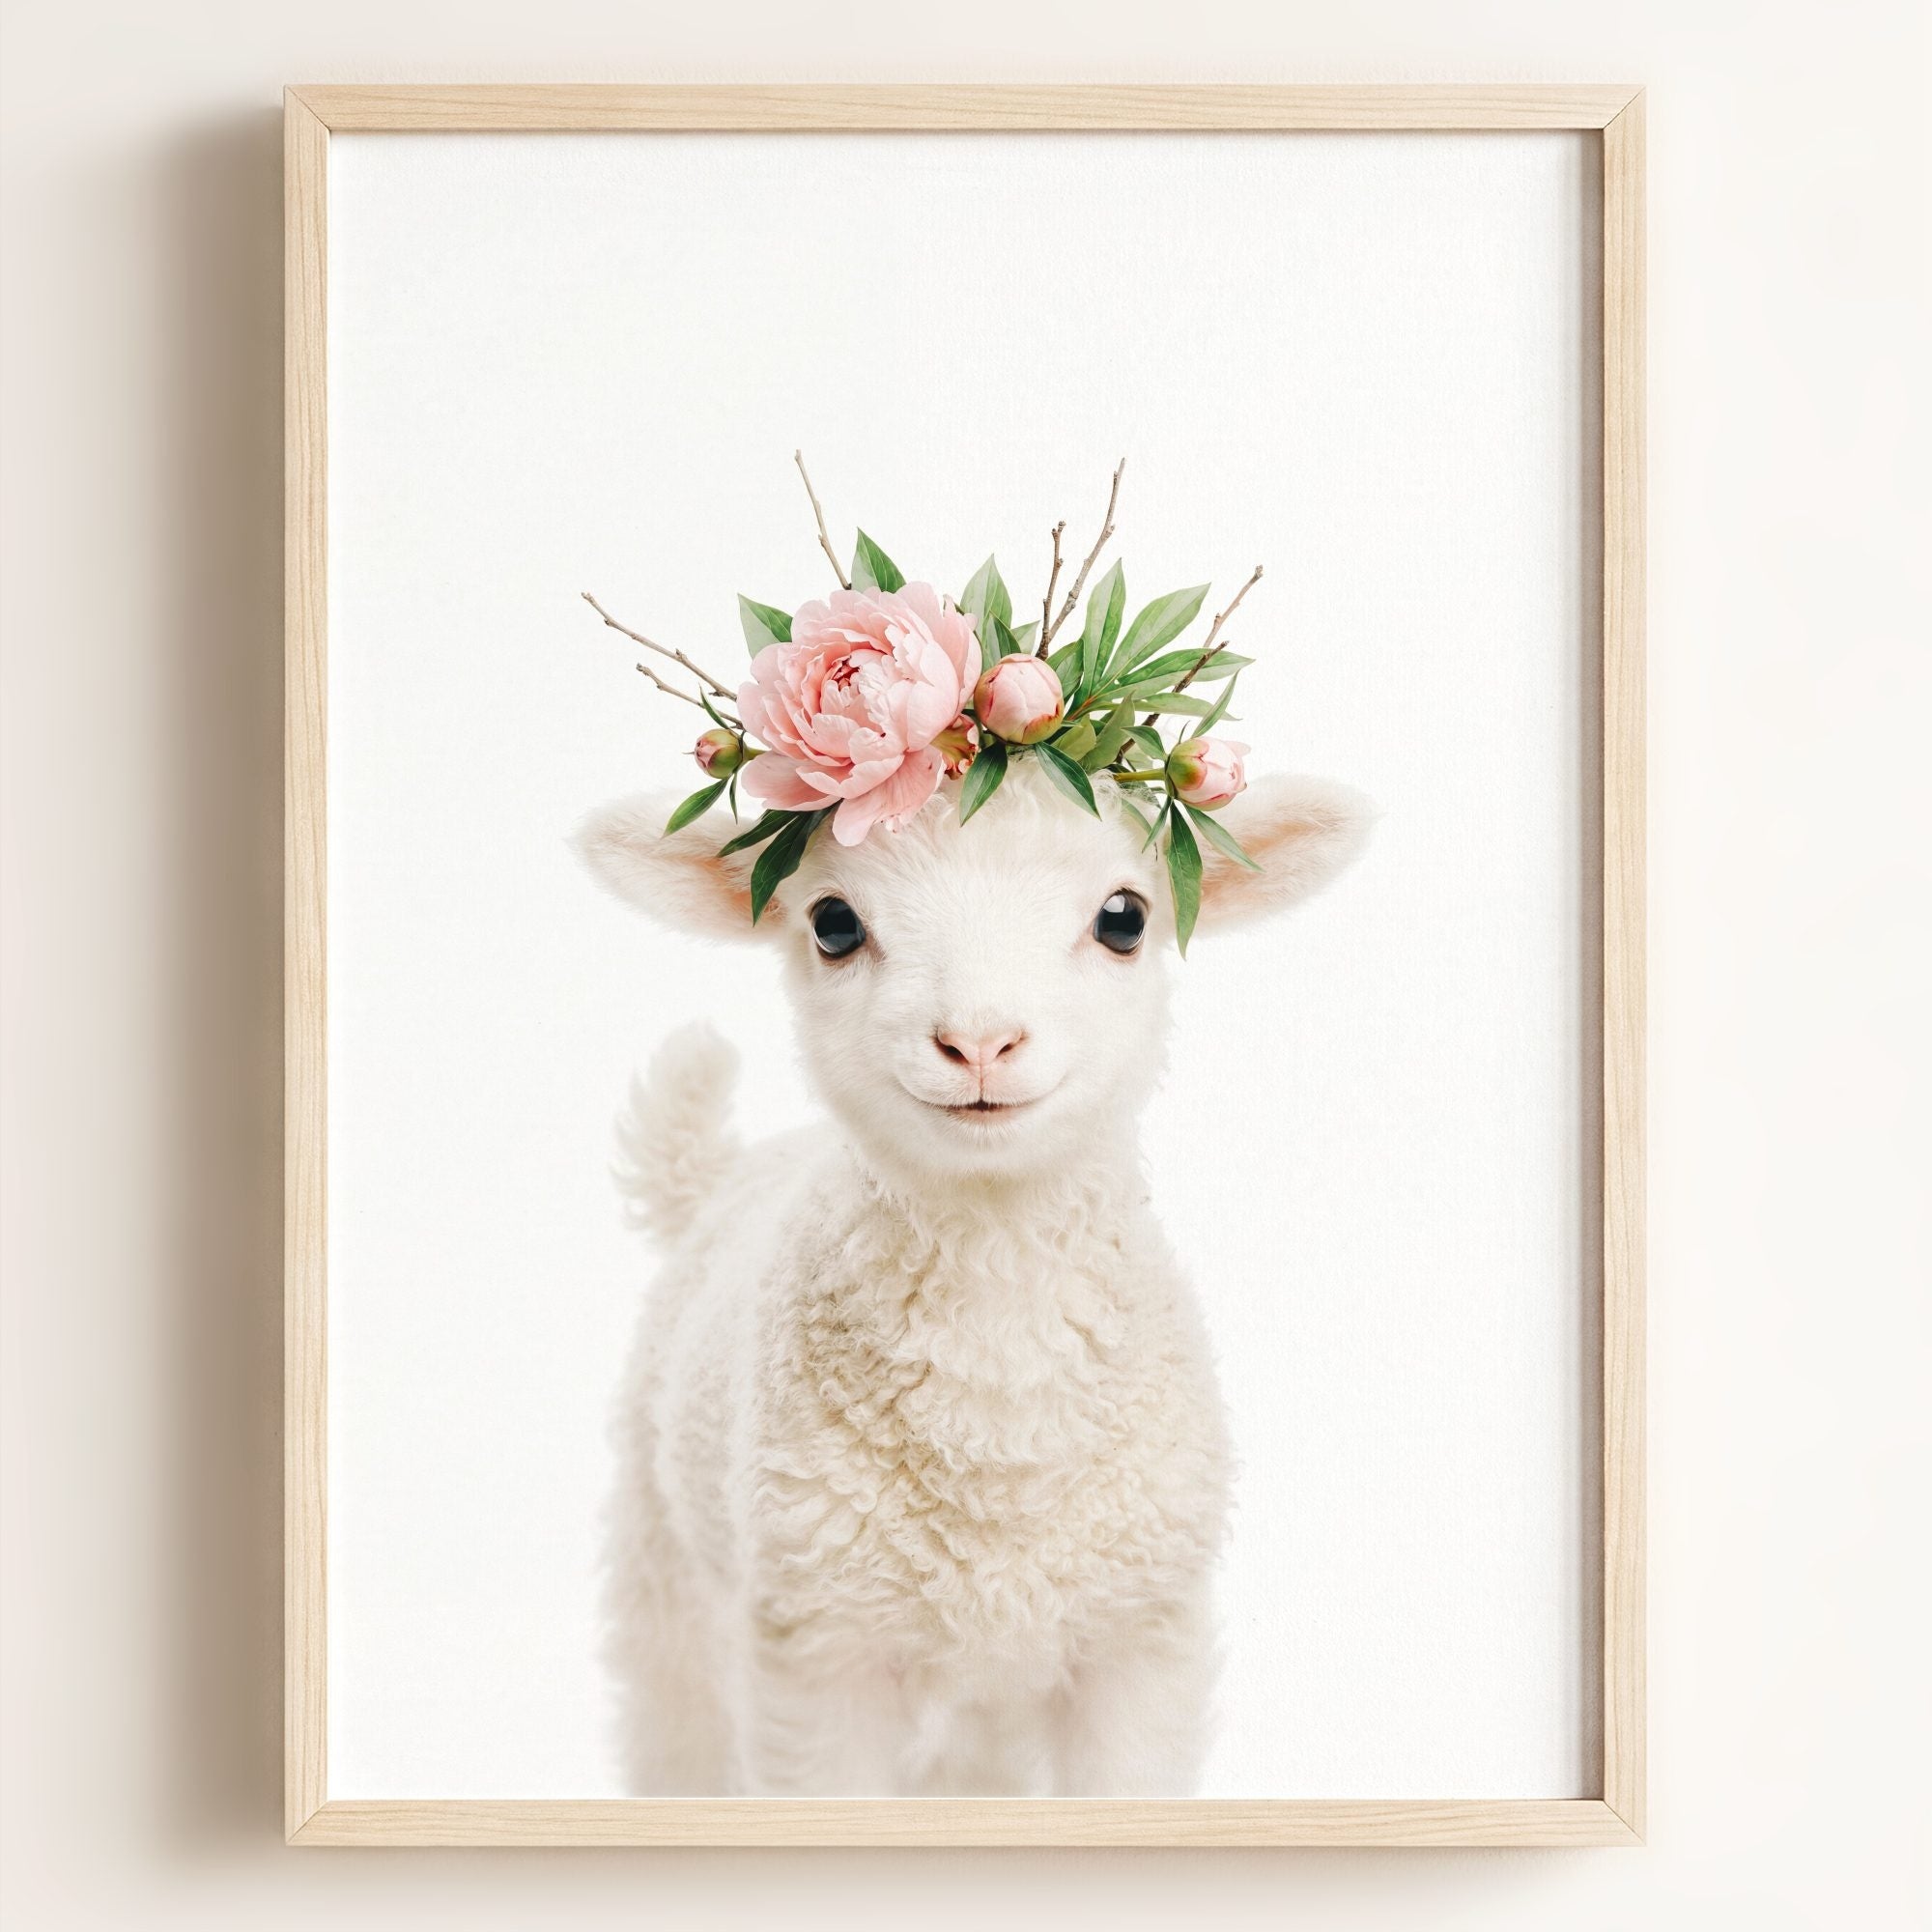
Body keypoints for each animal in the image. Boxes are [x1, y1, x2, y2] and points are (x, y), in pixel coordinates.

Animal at [575, 755, 1372, 1797]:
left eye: (1124, 917)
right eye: (834, 923)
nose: (980, 1042)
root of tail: (717, 1176)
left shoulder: (1138, 1640)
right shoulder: (817, 1652)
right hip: (666, 1573)